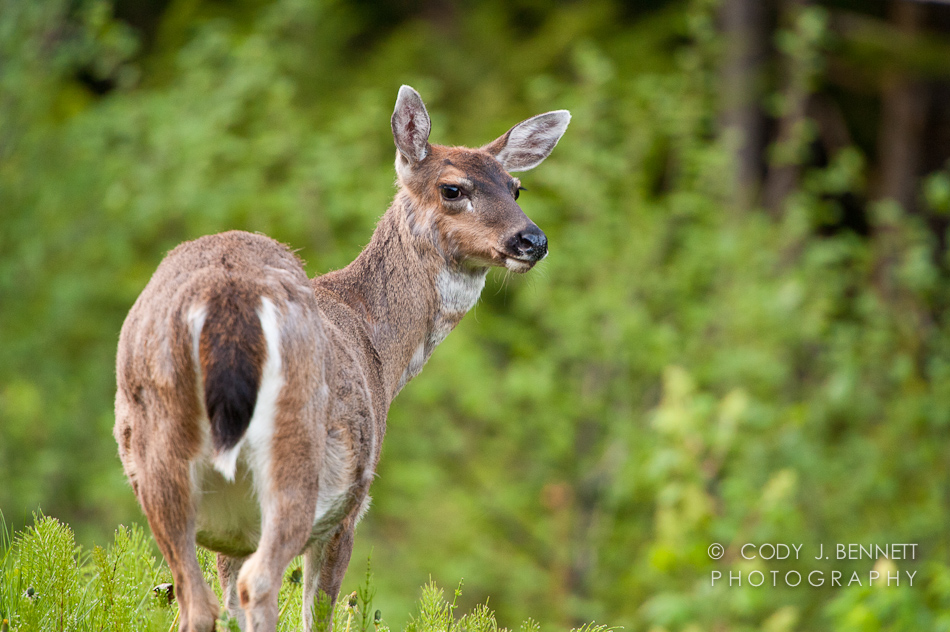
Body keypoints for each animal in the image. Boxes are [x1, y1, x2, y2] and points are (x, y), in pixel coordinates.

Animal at [113, 85, 572, 632]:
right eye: (452, 189)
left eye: (516, 188)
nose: (533, 240)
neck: (382, 354)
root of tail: (227, 299)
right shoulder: (351, 508)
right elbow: (318, 611)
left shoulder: (231, 532)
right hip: (300, 456)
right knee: (258, 585)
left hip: (159, 454)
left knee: (197, 600)